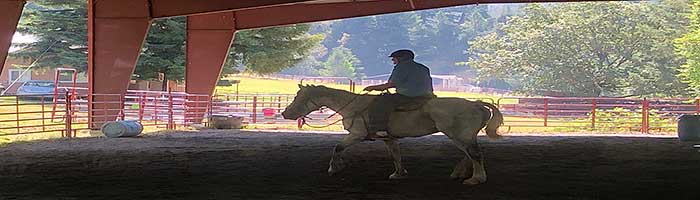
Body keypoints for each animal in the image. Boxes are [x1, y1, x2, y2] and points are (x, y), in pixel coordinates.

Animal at [280, 84, 504, 184]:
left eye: (299, 97)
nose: (285, 113)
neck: (355, 106)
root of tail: (476, 104)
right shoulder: (389, 139)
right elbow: (396, 155)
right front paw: (399, 173)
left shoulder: (357, 135)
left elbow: (338, 147)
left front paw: (334, 168)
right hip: (462, 137)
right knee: (470, 154)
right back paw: (460, 173)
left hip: (458, 135)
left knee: (474, 154)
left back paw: (476, 178)